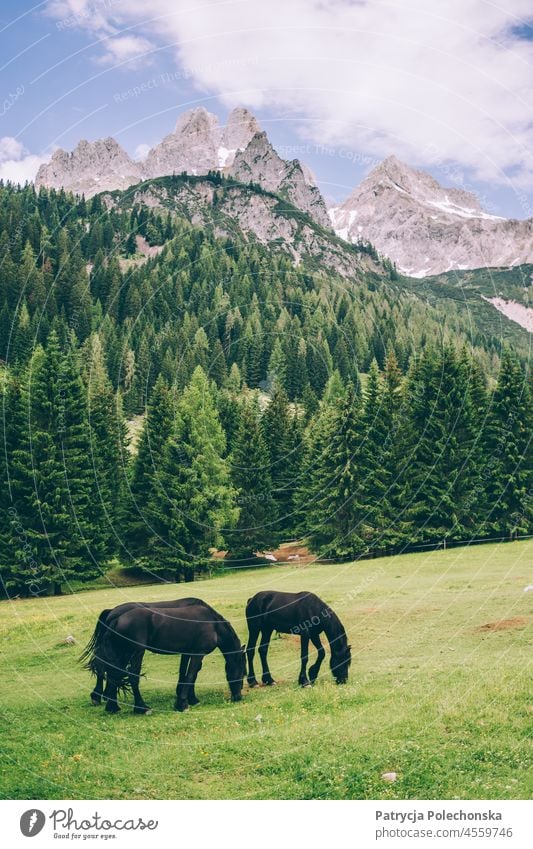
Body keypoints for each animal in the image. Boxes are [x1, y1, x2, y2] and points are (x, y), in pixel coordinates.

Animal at [80, 600, 246, 712]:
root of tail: (116, 618)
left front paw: (189, 698)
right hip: (136, 652)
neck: (213, 624)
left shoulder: (188, 652)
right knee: (131, 676)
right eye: (243, 672)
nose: (238, 696)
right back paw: (141, 707)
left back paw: (112, 706)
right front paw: (183, 703)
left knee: (114, 675)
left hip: (123, 653)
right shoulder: (198, 653)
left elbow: (185, 674)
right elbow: (191, 675)